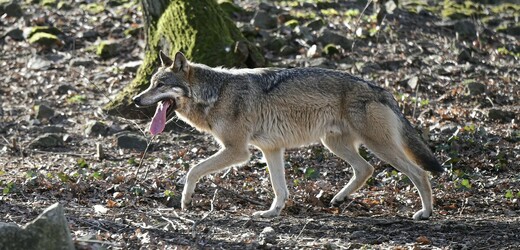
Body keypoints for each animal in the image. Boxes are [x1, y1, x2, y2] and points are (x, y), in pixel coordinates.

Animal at [133, 51, 442, 220]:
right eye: (150, 83)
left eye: (161, 85)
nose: (136, 99)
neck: (215, 94)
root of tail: (382, 89)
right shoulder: (271, 149)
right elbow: (279, 188)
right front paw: (272, 213)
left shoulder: (237, 151)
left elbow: (193, 170)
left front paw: (185, 200)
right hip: (334, 144)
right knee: (366, 169)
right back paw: (338, 199)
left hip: (377, 146)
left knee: (419, 173)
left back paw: (425, 213)